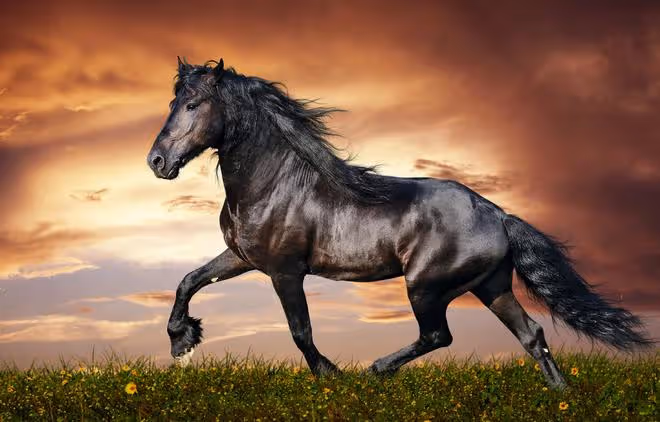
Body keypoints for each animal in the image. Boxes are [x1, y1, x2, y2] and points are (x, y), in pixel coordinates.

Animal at [147, 57, 650, 389]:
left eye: (193, 104)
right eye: (173, 102)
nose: (157, 162)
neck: (274, 182)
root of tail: (498, 215)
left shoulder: (285, 271)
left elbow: (300, 331)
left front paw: (331, 375)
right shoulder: (243, 257)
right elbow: (189, 280)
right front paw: (182, 341)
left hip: (425, 285)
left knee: (438, 335)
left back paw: (376, 369)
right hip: (492, 286)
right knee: (532, 335)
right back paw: (561, 394)